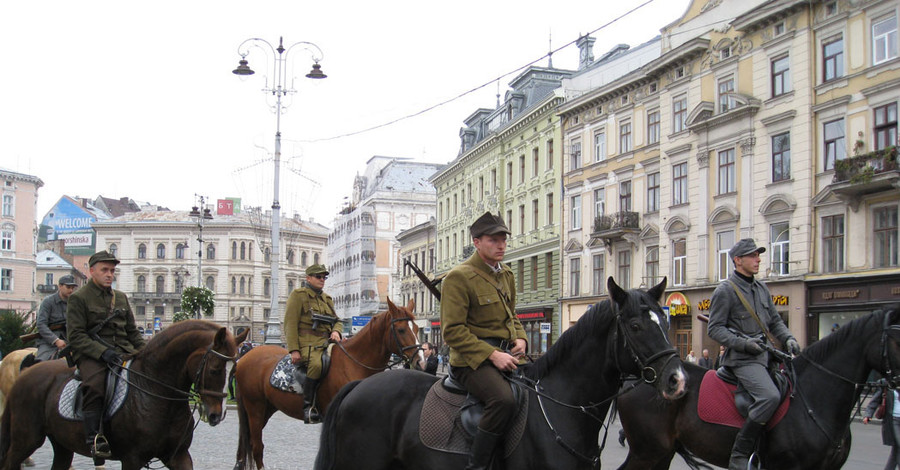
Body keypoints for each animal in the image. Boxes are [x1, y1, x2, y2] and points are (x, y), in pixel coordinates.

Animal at [0, 320, 248, 470]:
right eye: (215, 369)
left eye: (233, 370)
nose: (216, 415)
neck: (156, 392)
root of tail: (26, 374)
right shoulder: (132, 458)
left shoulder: (178, 455)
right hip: (26, 439)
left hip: (61, 443)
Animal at [236, 298, 426, 470]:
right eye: (401, 330)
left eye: (417, 329)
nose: (421, 362)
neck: (354, 362)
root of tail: (244, 358)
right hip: (255, 408)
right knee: (256, 446)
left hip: (266, 408)